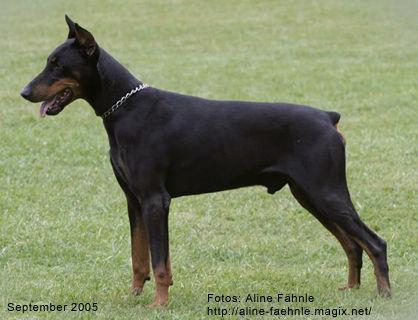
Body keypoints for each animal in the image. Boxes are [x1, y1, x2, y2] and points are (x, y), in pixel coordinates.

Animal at [20, 15, 392, 308]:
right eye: (49, 61)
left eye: (57, 64)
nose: (24, 92)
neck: (125, 107)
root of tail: (329, 118)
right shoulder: (133, 201)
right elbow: (140, 258)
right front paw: (134, 297)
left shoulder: (155, 200)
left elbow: (159, 261)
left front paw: (159, 304)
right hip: (309, 195)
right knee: (352, 244)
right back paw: (351, 288)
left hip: (326, 191)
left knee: (374, 242)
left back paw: (384, 295)